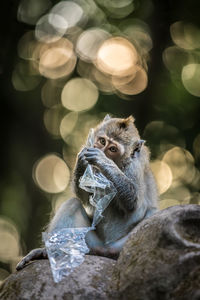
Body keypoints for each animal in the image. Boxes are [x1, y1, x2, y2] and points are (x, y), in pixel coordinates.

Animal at [16, 114, 158, 270]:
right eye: (102, 141)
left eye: (112, 149)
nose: (97, 148)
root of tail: (104, 250)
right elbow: (85, 195)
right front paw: (82, 161)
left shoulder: (135, 166)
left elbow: (133, 202)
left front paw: (102, 159)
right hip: (88, 244)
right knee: (72, 205)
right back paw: (47, 252)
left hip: (123, 247)